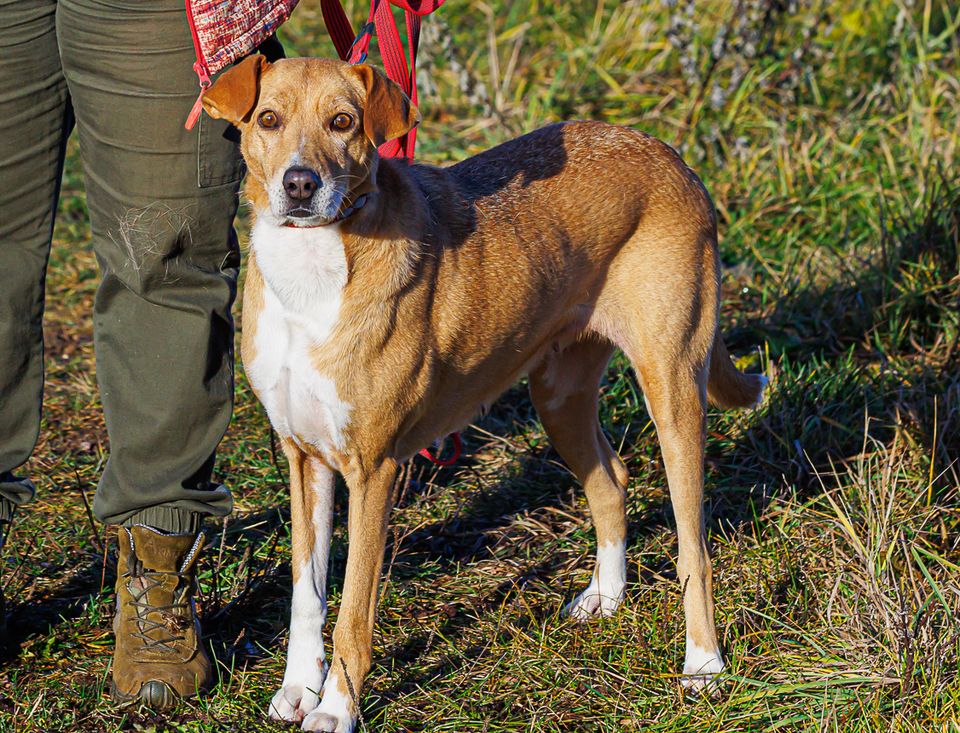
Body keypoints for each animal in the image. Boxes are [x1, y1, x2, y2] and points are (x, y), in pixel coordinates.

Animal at [201, 55, 764, 732]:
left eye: (342, 122)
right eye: (268, 119)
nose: (301, 184)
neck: (311, 272)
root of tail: (665, 151)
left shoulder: (373, 469)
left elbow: (353, 612)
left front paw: (336, 708)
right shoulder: (304, 457)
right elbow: (306, 596)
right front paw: (298, 689)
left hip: (673, 389)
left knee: (693, 546)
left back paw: (703, 665)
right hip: (558, 396)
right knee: (611, 479)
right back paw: (605, 596)